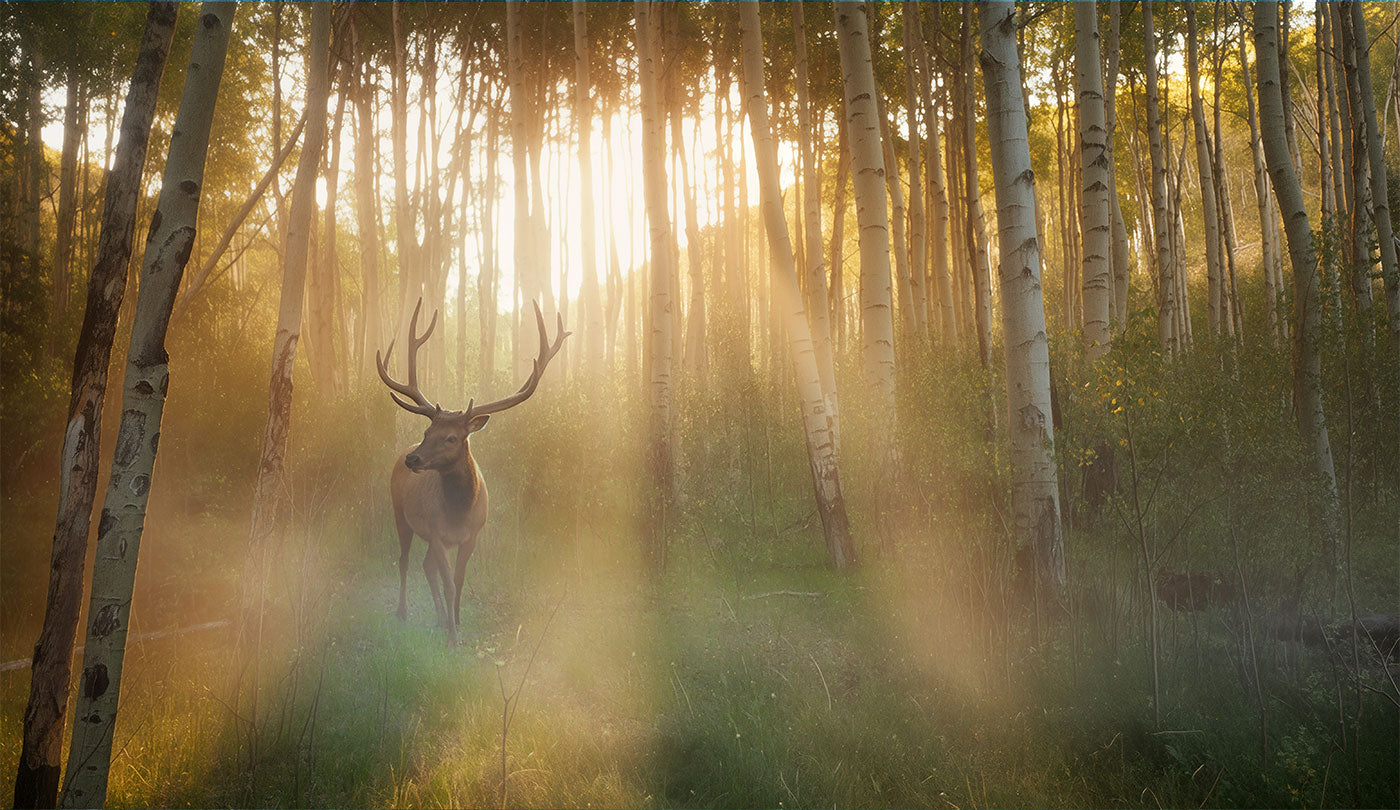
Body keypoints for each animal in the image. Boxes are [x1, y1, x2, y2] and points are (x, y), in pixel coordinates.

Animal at [376, 298, 568, 644]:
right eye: (427, 431)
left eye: (452, 437)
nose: (413, 459)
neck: (458, 513)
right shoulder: (437, 532)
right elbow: (449, 582)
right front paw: (453, 639)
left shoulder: (472, 535)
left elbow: (460, 580)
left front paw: (457, 624)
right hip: (400, 513)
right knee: (405, 560)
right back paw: (403, 612)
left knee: (425, 566)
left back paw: (440, 618)